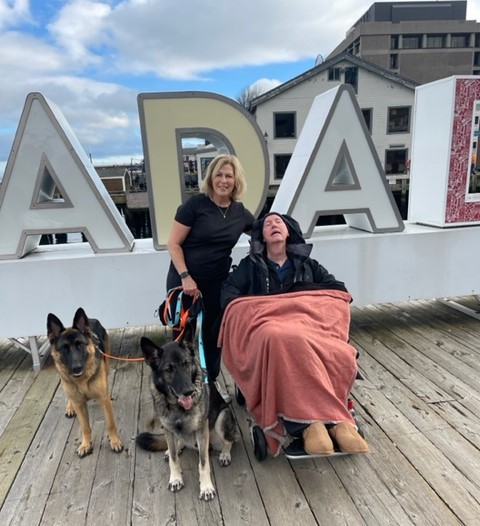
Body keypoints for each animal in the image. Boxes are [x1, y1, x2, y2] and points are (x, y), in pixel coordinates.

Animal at [47, 308, 124, 460]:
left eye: (80, 345)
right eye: (64, 348)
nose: (76, 368)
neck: (81, 381)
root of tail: (92, 318)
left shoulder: (104, 400)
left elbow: (110, 424)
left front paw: (114, 441)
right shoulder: (80, 405)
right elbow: (85, 427)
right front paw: (86, 445)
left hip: (106, 366)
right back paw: (70, 407)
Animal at [137, 326, 238, 504]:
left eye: (186, 364)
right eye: (169, 369)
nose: (189, 391)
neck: (177, 406)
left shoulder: (202, 430)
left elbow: (203, 464)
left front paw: (206, 488)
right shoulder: (168, 429)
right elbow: (174, 459)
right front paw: (175, 478)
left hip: (222, 418)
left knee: (230, 440)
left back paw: (225, 454)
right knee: (178, 444)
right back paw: (175, 448)